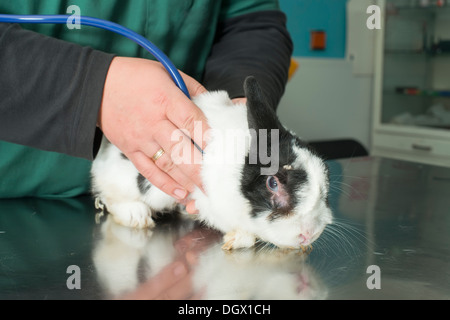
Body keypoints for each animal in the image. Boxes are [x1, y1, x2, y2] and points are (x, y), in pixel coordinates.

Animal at [91, 75, 332, 250]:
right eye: (272, 183)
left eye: (325, 178)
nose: (309, 235)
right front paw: (236, 239)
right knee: (109, 195)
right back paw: (136, 215)